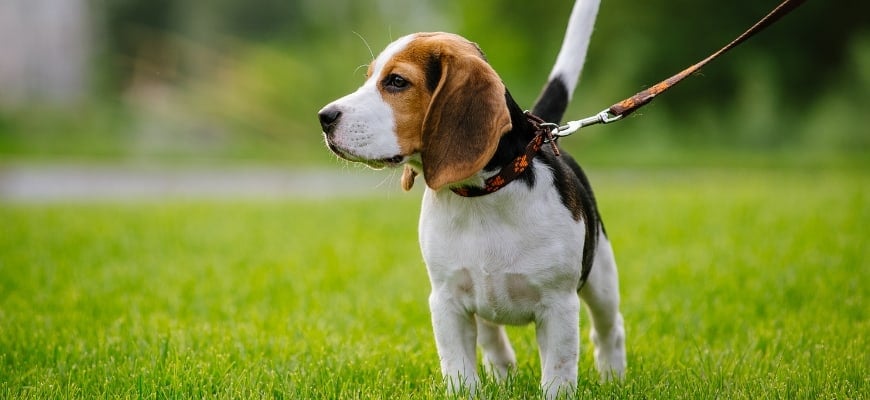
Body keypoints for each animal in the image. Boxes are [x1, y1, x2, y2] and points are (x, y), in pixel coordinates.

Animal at [320, 0, 628, 396]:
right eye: (370, 77)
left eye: (397, 81)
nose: (324, 117)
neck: (481, 196)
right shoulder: (446, 301)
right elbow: (459, 370)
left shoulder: (558, 306)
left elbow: (557, 375)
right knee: (494, 339)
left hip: (600, 275)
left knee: (608, 330)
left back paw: (613, 378)